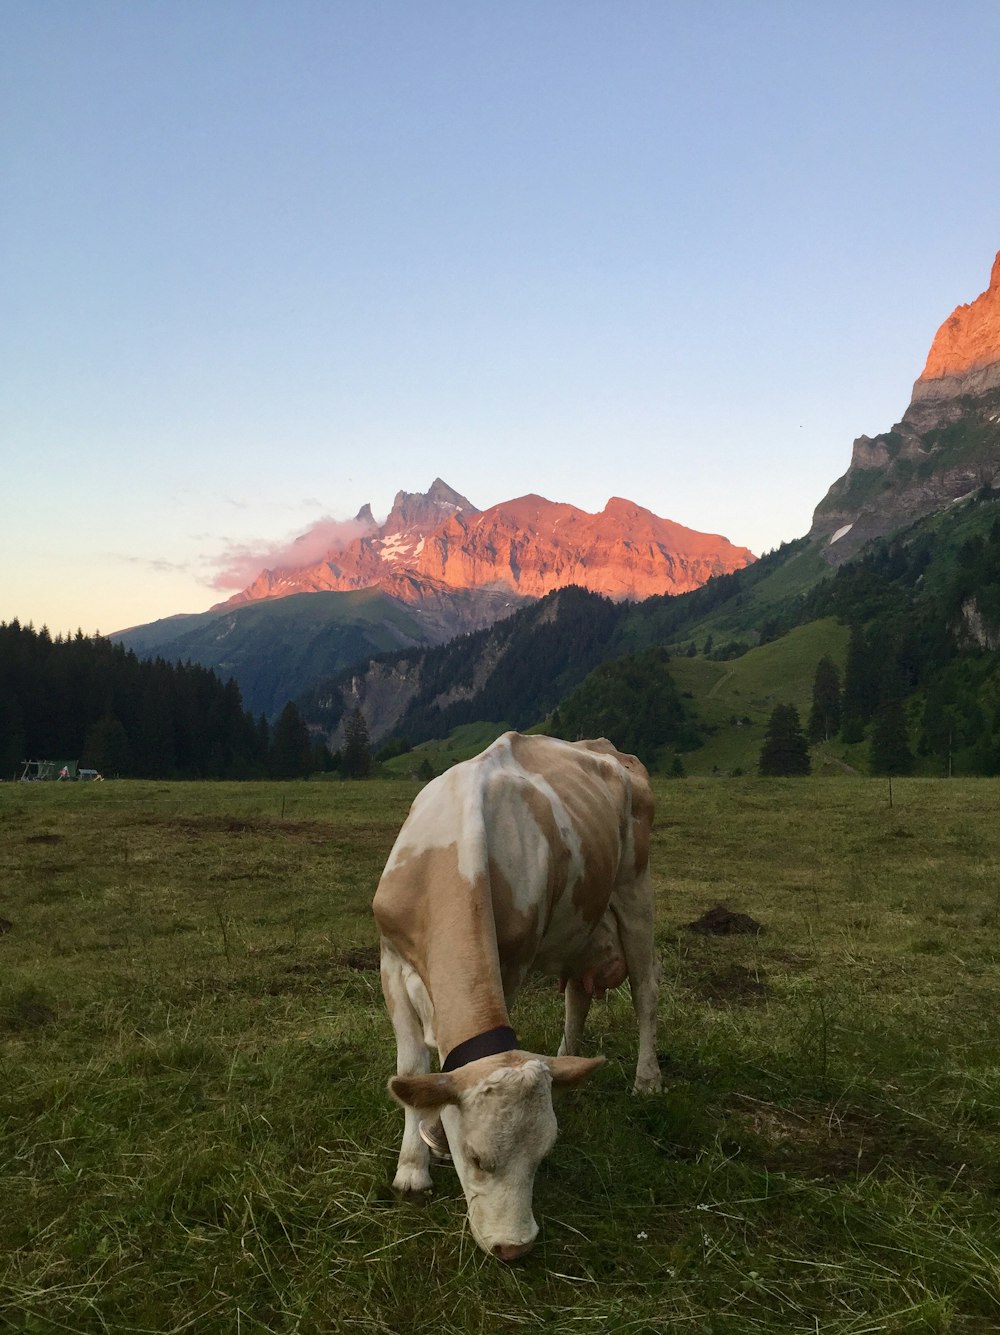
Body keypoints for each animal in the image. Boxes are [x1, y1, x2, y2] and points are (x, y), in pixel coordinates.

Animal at [371, 731, 659, 1260]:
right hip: (578, 926)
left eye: (542, 1157)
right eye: (476, 1157)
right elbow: (411, 1069)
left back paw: (648, 1080)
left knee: (646, 992)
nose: (517, 1248)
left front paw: (432, 1134)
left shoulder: (512, 964)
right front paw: (412, 1170)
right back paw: (567, 1063)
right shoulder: (391, 962)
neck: (452, 861)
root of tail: (605, 746)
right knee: (577, 995)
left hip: (635, 889)